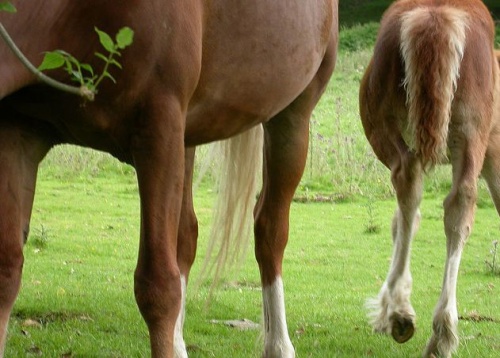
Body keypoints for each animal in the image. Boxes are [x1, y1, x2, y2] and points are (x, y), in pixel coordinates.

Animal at [0, 1, 340, 356]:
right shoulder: (17, 131)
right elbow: (7, 272)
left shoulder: (158, 131)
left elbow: (158, 287)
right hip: (187, 139)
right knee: (186, 236)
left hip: (291, 119)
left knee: (269, 231)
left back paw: (278, 345)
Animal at [360, 0, 500, 358]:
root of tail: (437, 16)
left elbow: (401, 222)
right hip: (469, 136)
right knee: (458, 205)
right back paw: (439, 331)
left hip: (389, 129)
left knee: (410, 184)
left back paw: (400, 312)